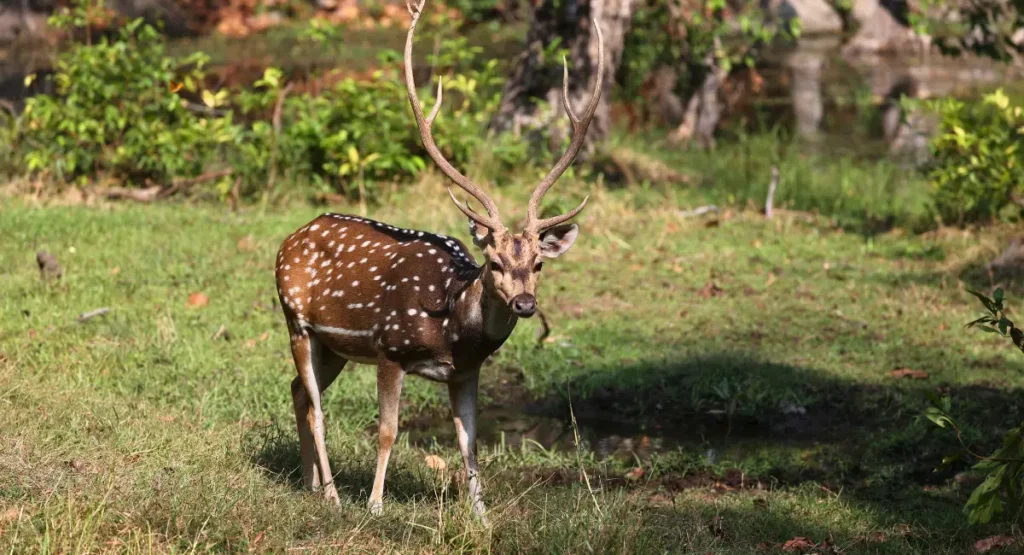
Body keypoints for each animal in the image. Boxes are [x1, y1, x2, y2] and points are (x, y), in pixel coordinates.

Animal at [273, 0, 604, 519]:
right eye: (493, 262)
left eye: (538, 264)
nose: (525, 303)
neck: (451, 331)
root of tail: (292, 236)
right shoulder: (388, 349)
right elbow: (387, 431)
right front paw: (375, 504)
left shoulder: (467, 372)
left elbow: (469, 441)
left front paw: (482, 516)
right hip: (296, 321)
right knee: (316, 406)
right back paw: (331, 494)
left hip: (334, 346)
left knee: (297, 393)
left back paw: (310, 484)